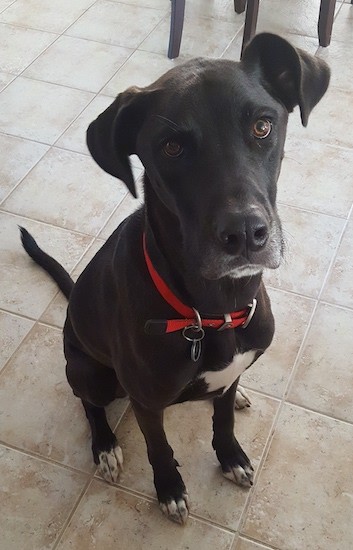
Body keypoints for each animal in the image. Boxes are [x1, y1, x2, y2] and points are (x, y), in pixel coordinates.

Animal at [20, 33, 328, 528]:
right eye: (171, 148)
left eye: (263, 126)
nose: (245, 233)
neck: (214, 310)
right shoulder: (147, 403)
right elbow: (159, 448)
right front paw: (169, 490)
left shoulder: (231, 372)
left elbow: (223, 421)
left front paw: (231, 455)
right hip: (89, 371)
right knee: (89, 403)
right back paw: (105, 447)